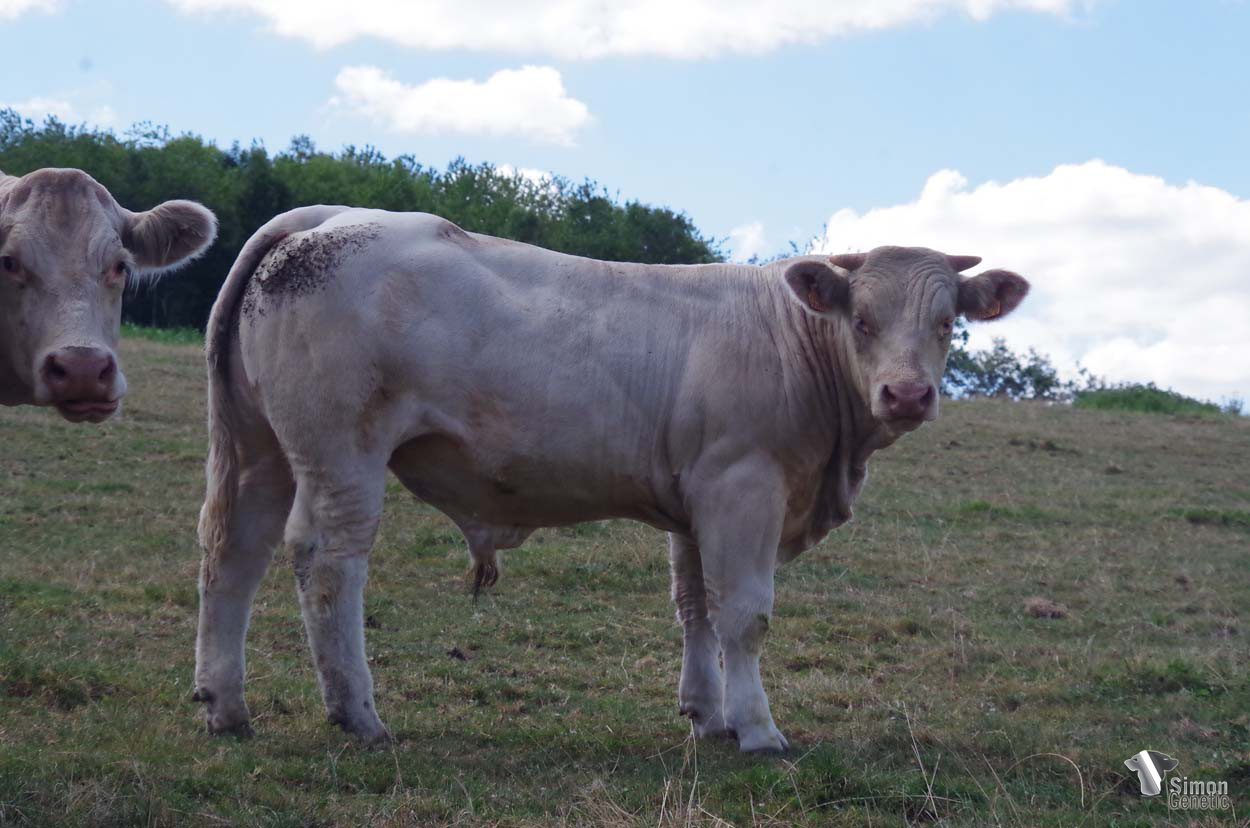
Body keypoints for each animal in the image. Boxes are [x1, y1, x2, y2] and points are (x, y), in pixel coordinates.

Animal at [193, 206, 1028, 752]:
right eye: (861, 320)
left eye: (947, 324)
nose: (907, 395)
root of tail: (327, 221)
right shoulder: (743, 487)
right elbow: (744, 614)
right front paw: (759, 729)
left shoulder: (699, 499)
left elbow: (696, 608)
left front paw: (708, 715)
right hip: (343, 453)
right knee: (327, 564)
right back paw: (357, 714)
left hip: (259, 446)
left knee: (233, 552)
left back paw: (225, 706)